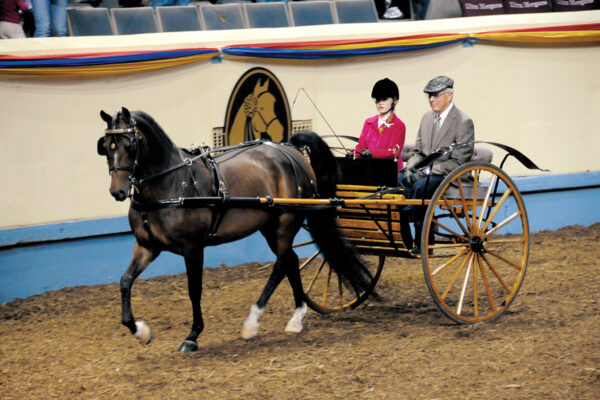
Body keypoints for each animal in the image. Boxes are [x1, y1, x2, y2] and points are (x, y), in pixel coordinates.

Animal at [96, 108, 372, 352]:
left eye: (130, 145)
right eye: (106, 146)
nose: (117, 191)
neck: (172, 185)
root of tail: (290, 150)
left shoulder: (192, 248)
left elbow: (194, 290)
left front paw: (192, 336)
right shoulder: (147, 246)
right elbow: (125, 281)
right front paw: (140, 330)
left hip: (285, 223)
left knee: (282, 264)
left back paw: (254, 321)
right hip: (270, 227)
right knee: (291, 261)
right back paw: (294, 317)